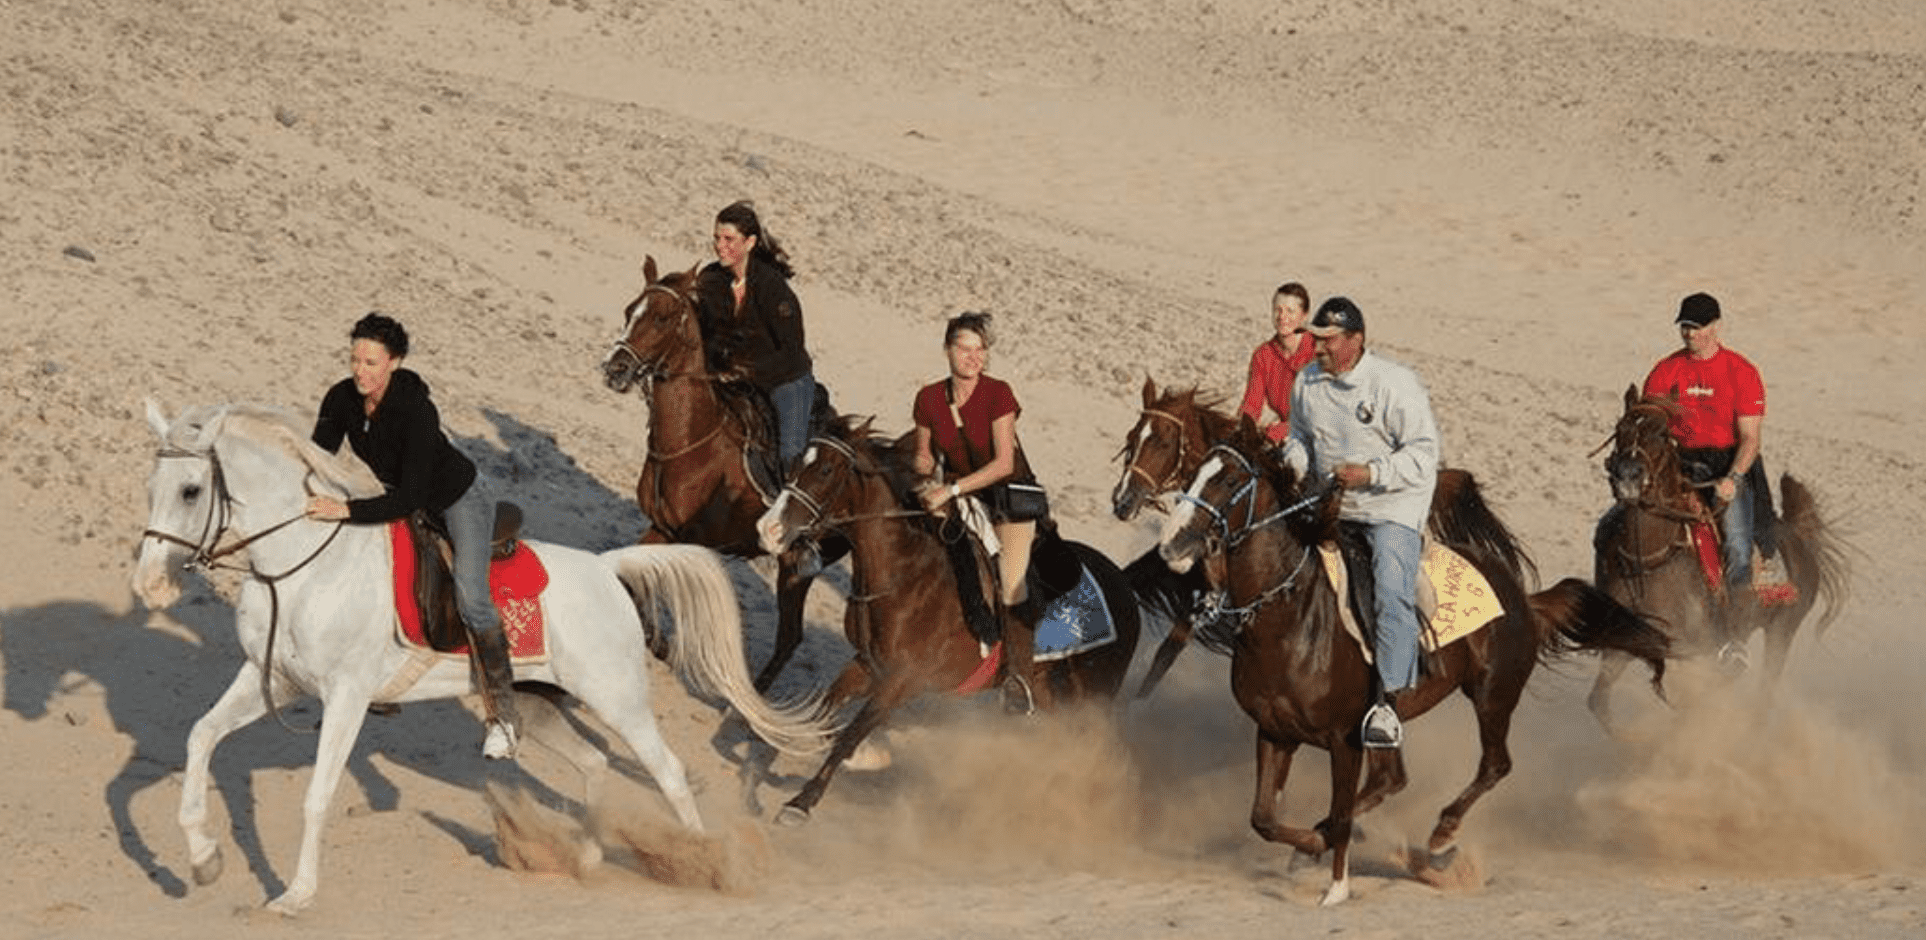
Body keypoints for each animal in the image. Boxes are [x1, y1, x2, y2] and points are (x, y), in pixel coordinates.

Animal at [132, 400, 837, 914]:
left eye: (191, 490)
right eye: (152, 486)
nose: (148, 586)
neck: (304, 564)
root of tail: (607, 569)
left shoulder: (345, 698)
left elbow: (318, 794)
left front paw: (296, 895)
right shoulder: (270, 678)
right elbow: (199, 738)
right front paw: (202, 859)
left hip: (618, 699)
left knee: (664, 770)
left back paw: (703, 862)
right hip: (536, 702)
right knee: (593, 764)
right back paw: (585, 858)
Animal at [601, 255, 844, 692]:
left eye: (662, 318)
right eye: (630, 311)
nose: (616, 368)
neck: (693, 444)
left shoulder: (691, 541)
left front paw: (664, 645)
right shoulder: (662, 528)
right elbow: (630, 578)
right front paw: (657, 641)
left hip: (794, 568)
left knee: (790, 637)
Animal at [754, 418, 1143, 825]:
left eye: (826, 470)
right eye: (796, 462)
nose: (768, 529)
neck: (906, 576)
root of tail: (1125, 588)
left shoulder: (905, 680)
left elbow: (851, 733)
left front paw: (802, 801)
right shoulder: (868, 665)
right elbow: (825, 715)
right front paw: (863, 758)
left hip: (1089, 700)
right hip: (1051, 694)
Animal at [1157, 422, 1670, 906]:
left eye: (1230, 479)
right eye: (1194, 472)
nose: (1171, 545)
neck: (1292, 616)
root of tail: (1523, 598)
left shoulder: (1344, 740)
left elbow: (1337, 814)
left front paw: (1336, 886)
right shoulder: (1275, 731)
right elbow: (1263, 818)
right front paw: (1310, 847)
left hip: (1492, 694)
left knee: (1493, 765)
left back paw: (1441, 835)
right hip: (1395, 720)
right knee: (1393, 779)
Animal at [1587, 386, 1850, 730]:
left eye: (1662, 433)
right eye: (1620, 429)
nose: (1628, 477)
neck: (1653, 556)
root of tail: (1798, 536)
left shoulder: (1691, 649)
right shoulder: (1626, 640)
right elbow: (1600, 704)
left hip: (1782, 631)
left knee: (1759, 692)